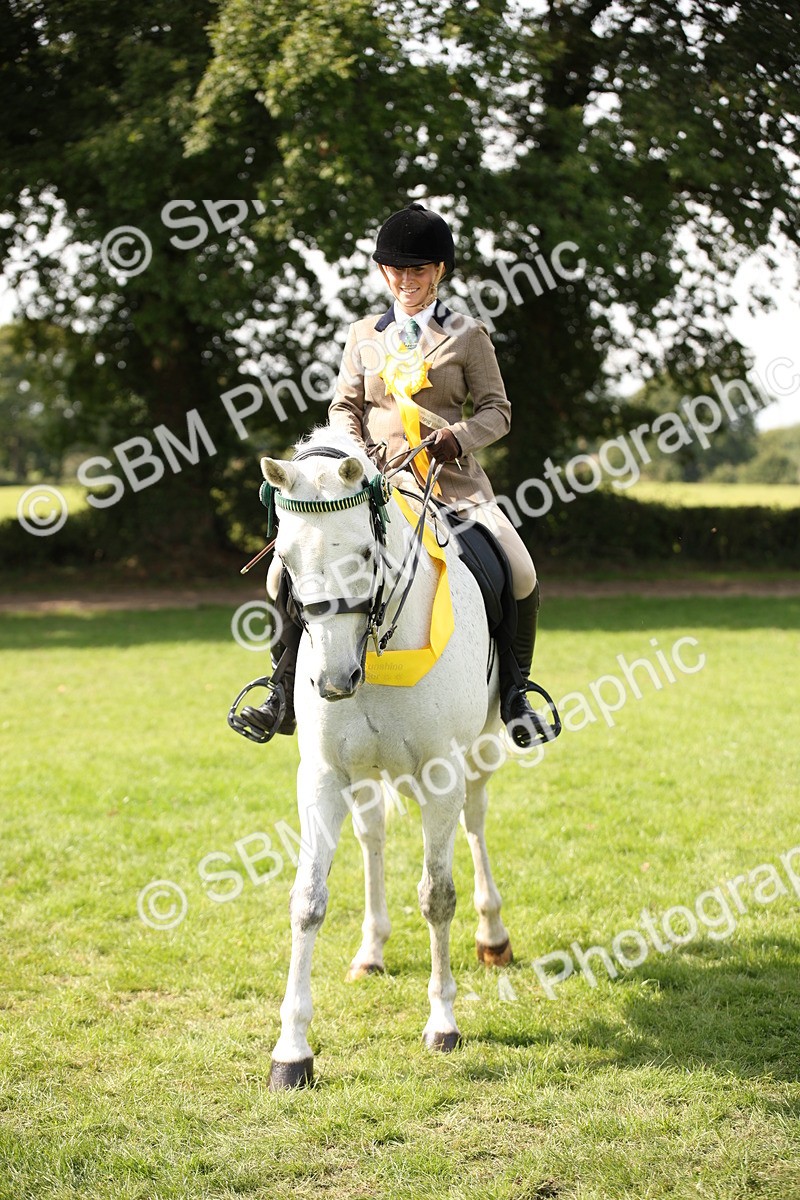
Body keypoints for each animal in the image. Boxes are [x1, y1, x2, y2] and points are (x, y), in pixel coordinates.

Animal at [260, 427, 516, 1090]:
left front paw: (444, 1023)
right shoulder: (323, 776)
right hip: (365, 774)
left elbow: (437, 894)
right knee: (372, 836)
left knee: (476, 826)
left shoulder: (442, 773)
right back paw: (371, 952)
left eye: (363, 553)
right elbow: (307, 900)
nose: (333, 680)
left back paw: (493, 936)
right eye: (285, 563)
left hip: (480, 754)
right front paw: (292, 1051)